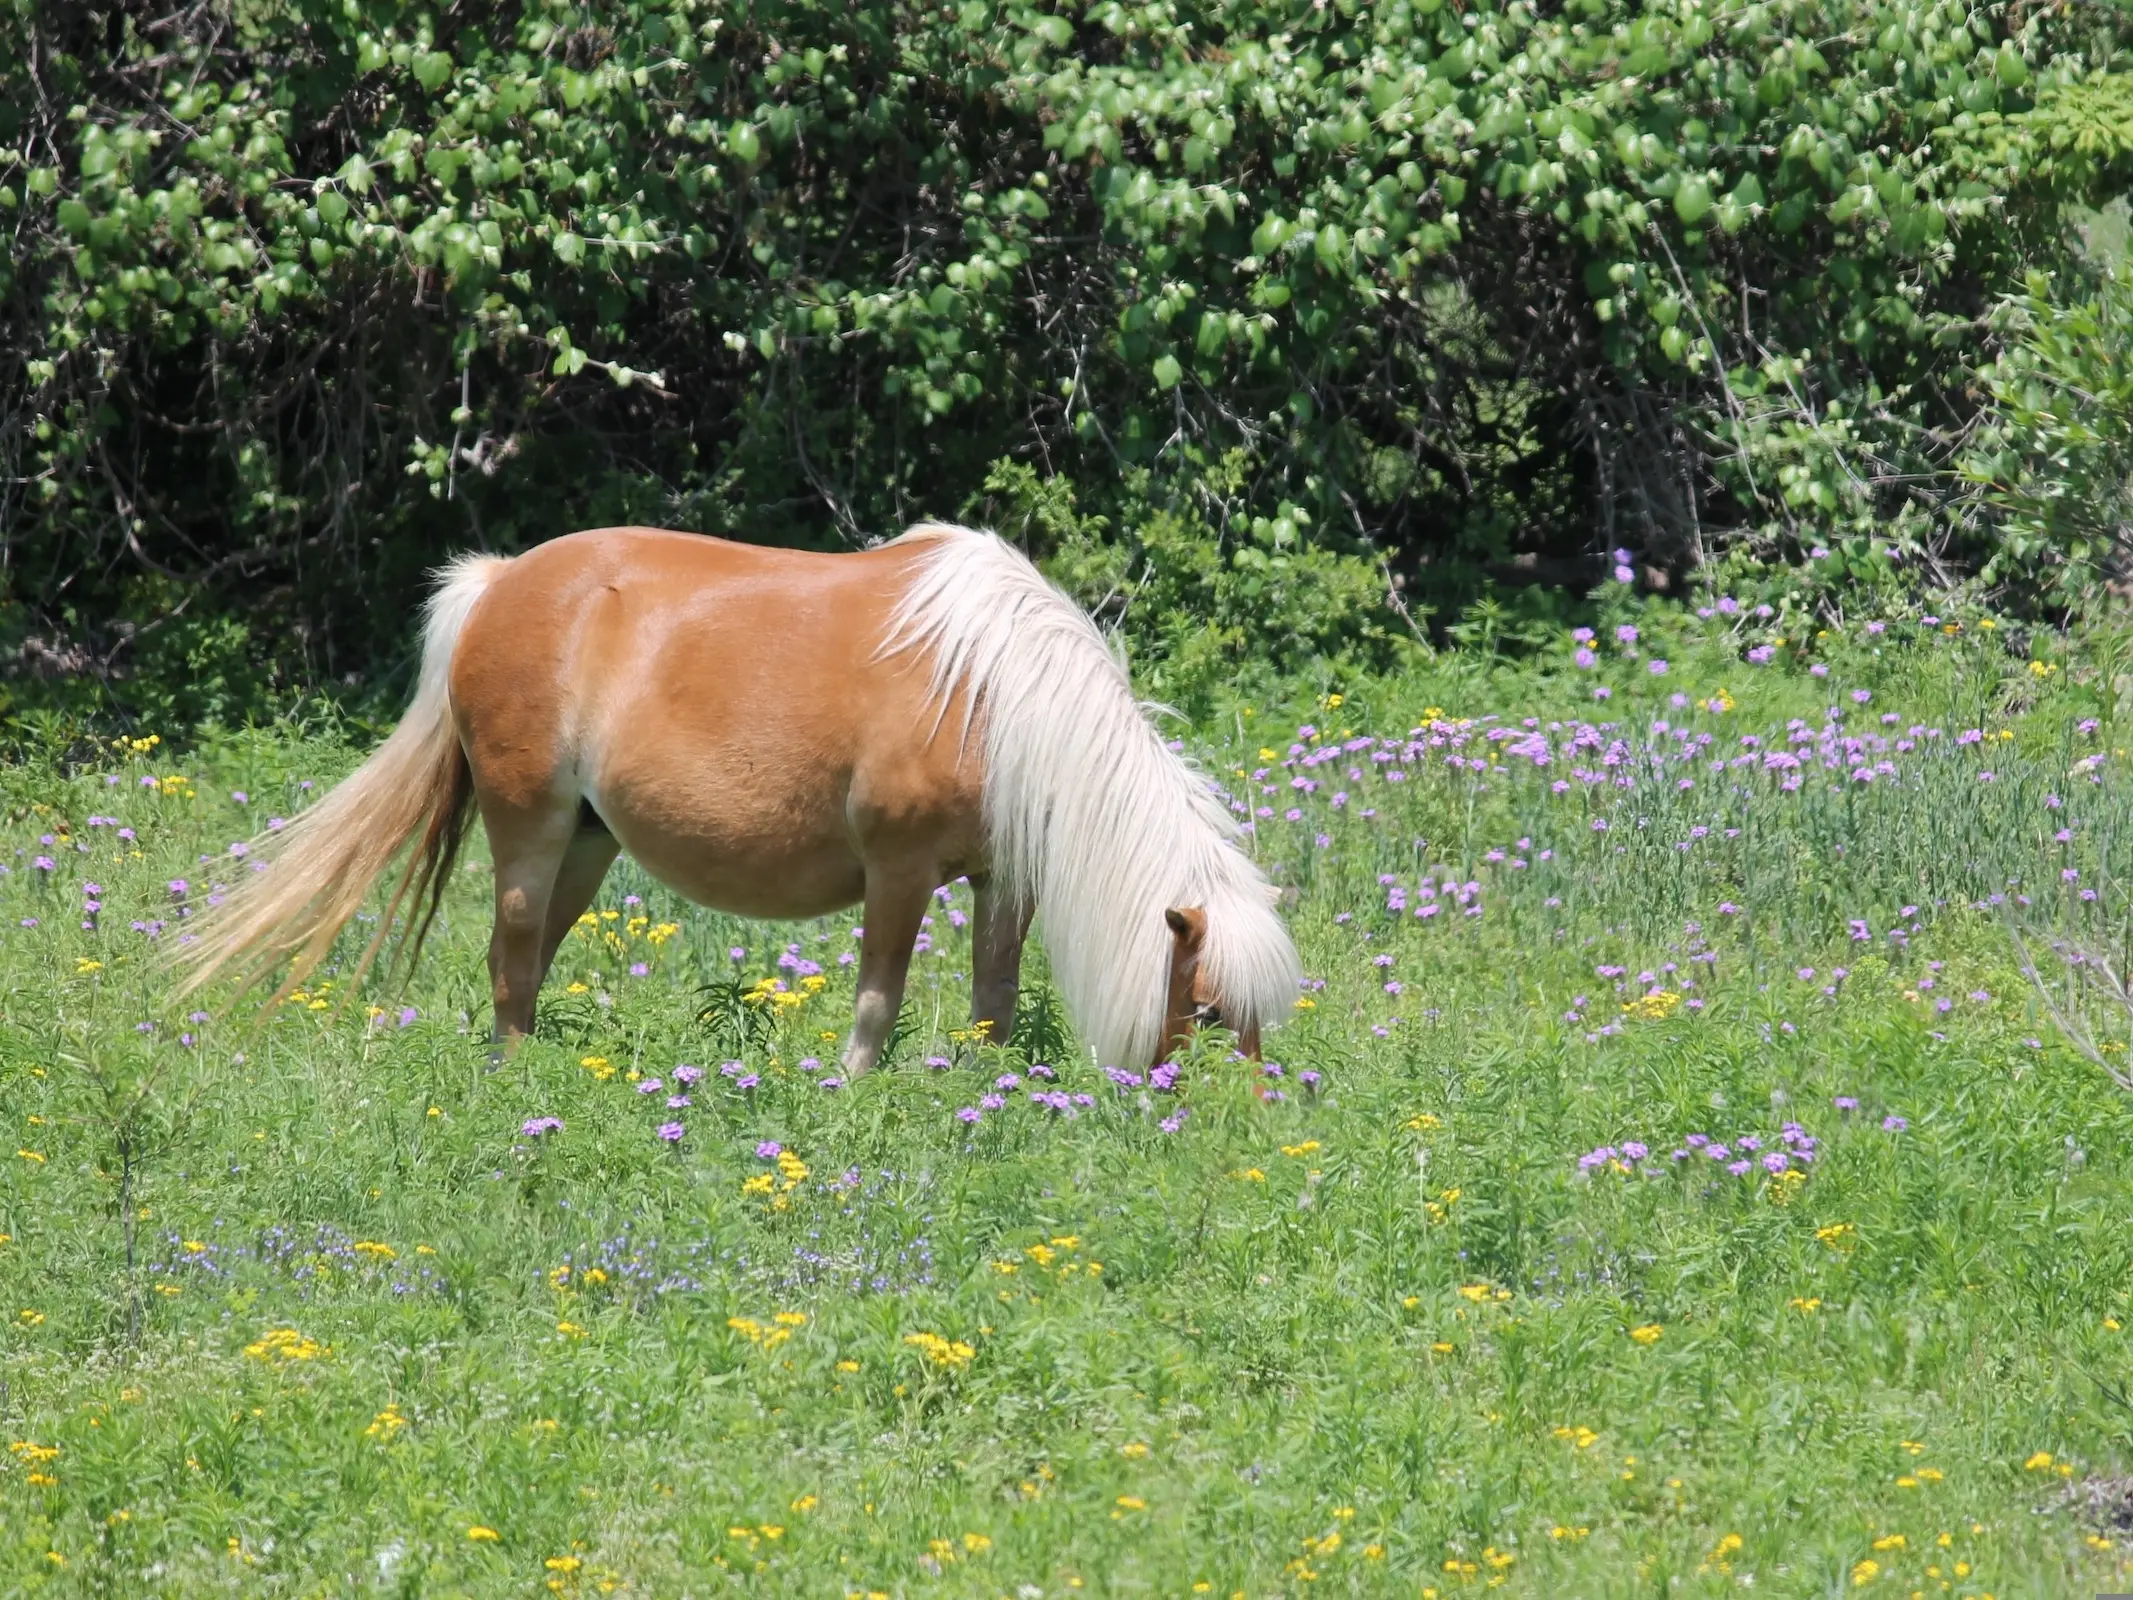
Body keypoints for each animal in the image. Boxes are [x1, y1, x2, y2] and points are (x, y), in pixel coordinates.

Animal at [174, 529, 1296, 1079]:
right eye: (1205, 1008)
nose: (1237, 1124)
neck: (993, 695)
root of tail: (496, 584)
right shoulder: (898, 872)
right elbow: (878, 997)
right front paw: (852, 1092)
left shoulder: (1003, 874)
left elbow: (993, 998)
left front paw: (984, 1092)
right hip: (530, 827)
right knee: (510, 957)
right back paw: (515, 1086)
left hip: (588, 845)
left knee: (528, 964)